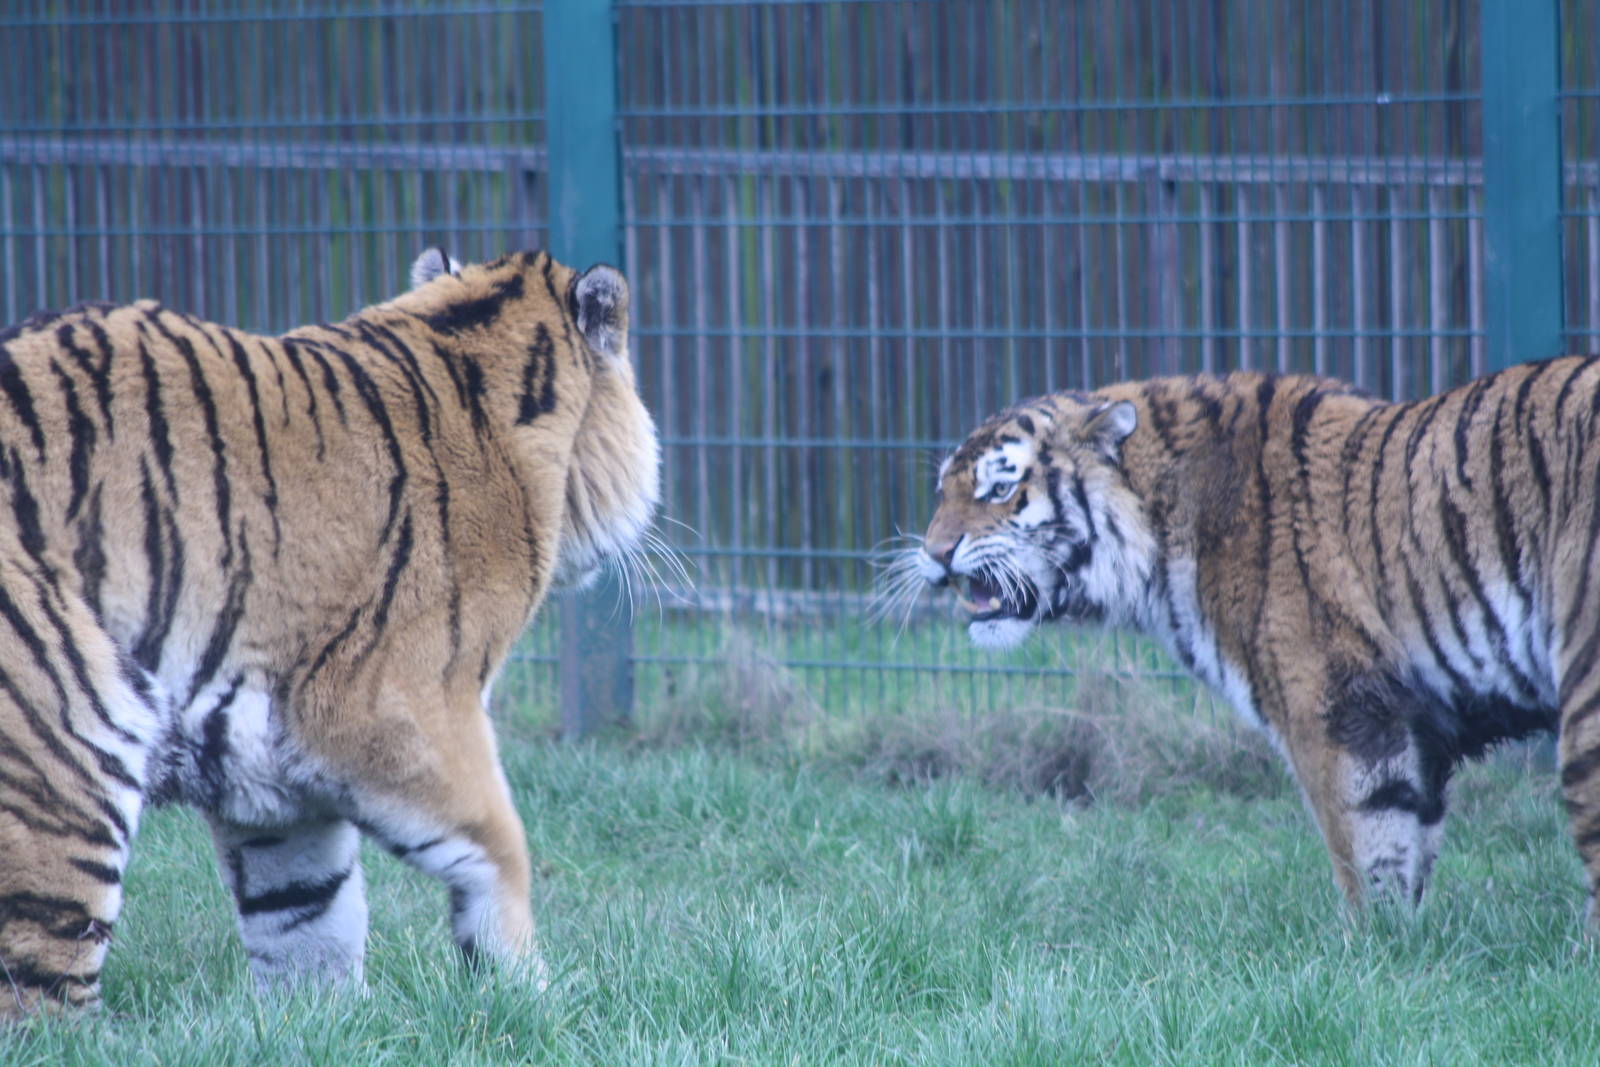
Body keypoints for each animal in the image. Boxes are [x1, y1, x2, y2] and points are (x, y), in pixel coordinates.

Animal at [0, 246, 659, 1016]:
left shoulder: (269, 770)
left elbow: (309, 912)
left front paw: (323, 1019)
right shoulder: (397, 702)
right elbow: (500, 842)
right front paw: (528, 989)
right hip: (68, 742)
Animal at [906, 361, 1600, 918]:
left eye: (1000, 489)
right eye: (941, 492)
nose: (935, 553)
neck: (1161, 523)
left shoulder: (1337, 708)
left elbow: (1366, 850)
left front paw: (1371, 960)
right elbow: (1409, 849)